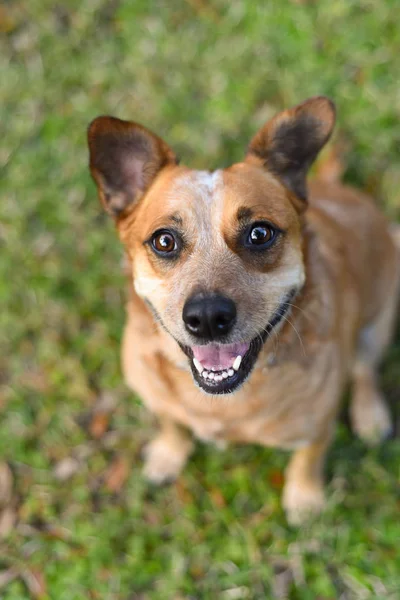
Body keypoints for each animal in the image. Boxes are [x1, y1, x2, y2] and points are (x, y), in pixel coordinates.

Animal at [88, 96, 400, 524]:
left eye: (260, 233)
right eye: (164, 241)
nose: (207, 318)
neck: (223, 404)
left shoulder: (318, 425)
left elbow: (307, 459)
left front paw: (304, 498)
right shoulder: (152, 392)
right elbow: (171, 423)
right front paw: (168, 455)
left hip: (378, 317)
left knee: (365, 370)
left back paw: (370, 415)